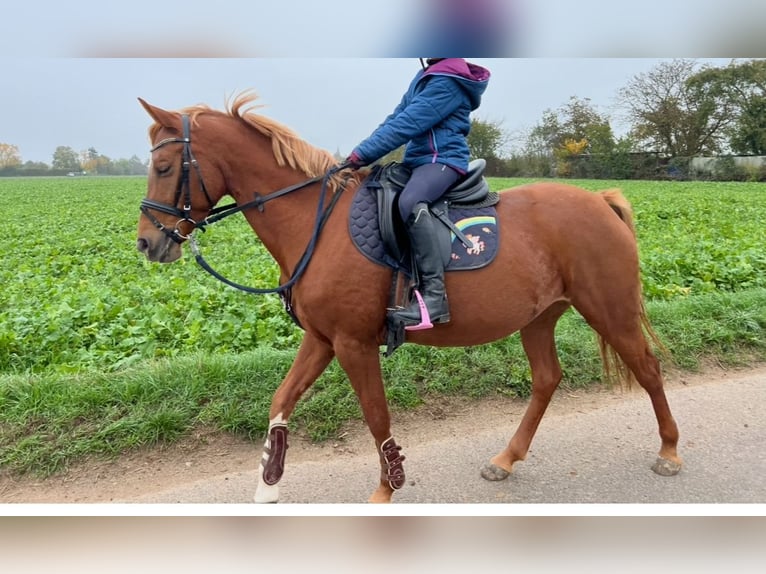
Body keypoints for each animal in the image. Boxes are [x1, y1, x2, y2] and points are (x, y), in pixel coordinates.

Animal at [135, 90, 680, 504]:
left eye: (162, 165)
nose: (147, 243)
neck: (316, 223)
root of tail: (601, 201)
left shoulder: (353, 344)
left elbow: (377, 416)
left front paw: (386, 488)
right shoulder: (322, 339)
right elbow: (281, 398)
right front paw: (269, 482)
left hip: (609, 309)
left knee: (648, 368)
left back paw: (670, 452)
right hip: (540, 317)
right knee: (547, 379)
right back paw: (505, 459)